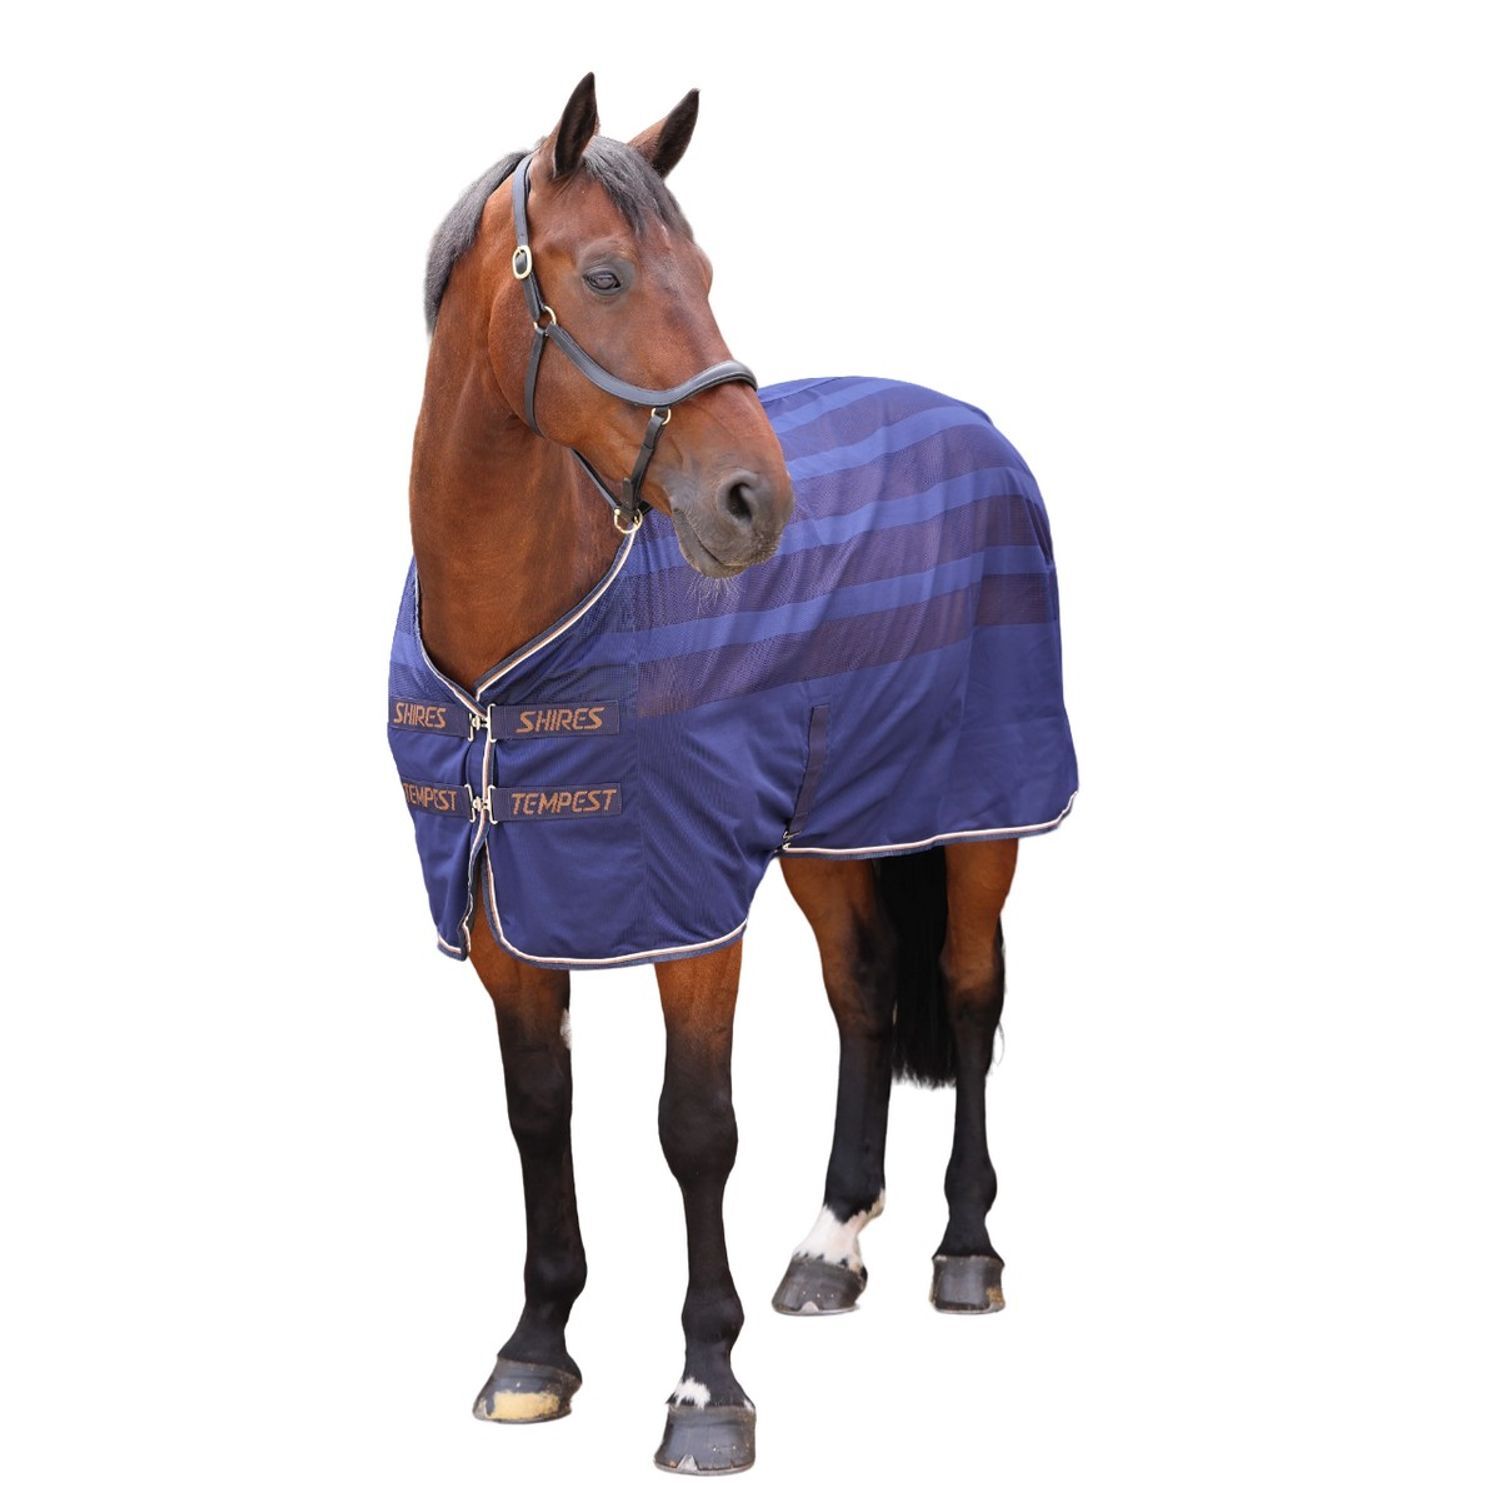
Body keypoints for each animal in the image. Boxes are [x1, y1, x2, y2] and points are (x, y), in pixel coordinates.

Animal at [388, 74, 1077, 1475]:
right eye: (603, 275)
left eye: (703, 273)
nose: (757, 503)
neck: (514, 650)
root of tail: (978, 425)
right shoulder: (503, 906)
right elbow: (539, 1110)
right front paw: (535, 1352)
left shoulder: (689, 906)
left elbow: (695, 1128)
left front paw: (707, 1390)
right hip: (830, 833)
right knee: (865, 997)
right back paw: (829, 1248)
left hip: (983, 814)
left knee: (968, 996)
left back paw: (964, 1252)